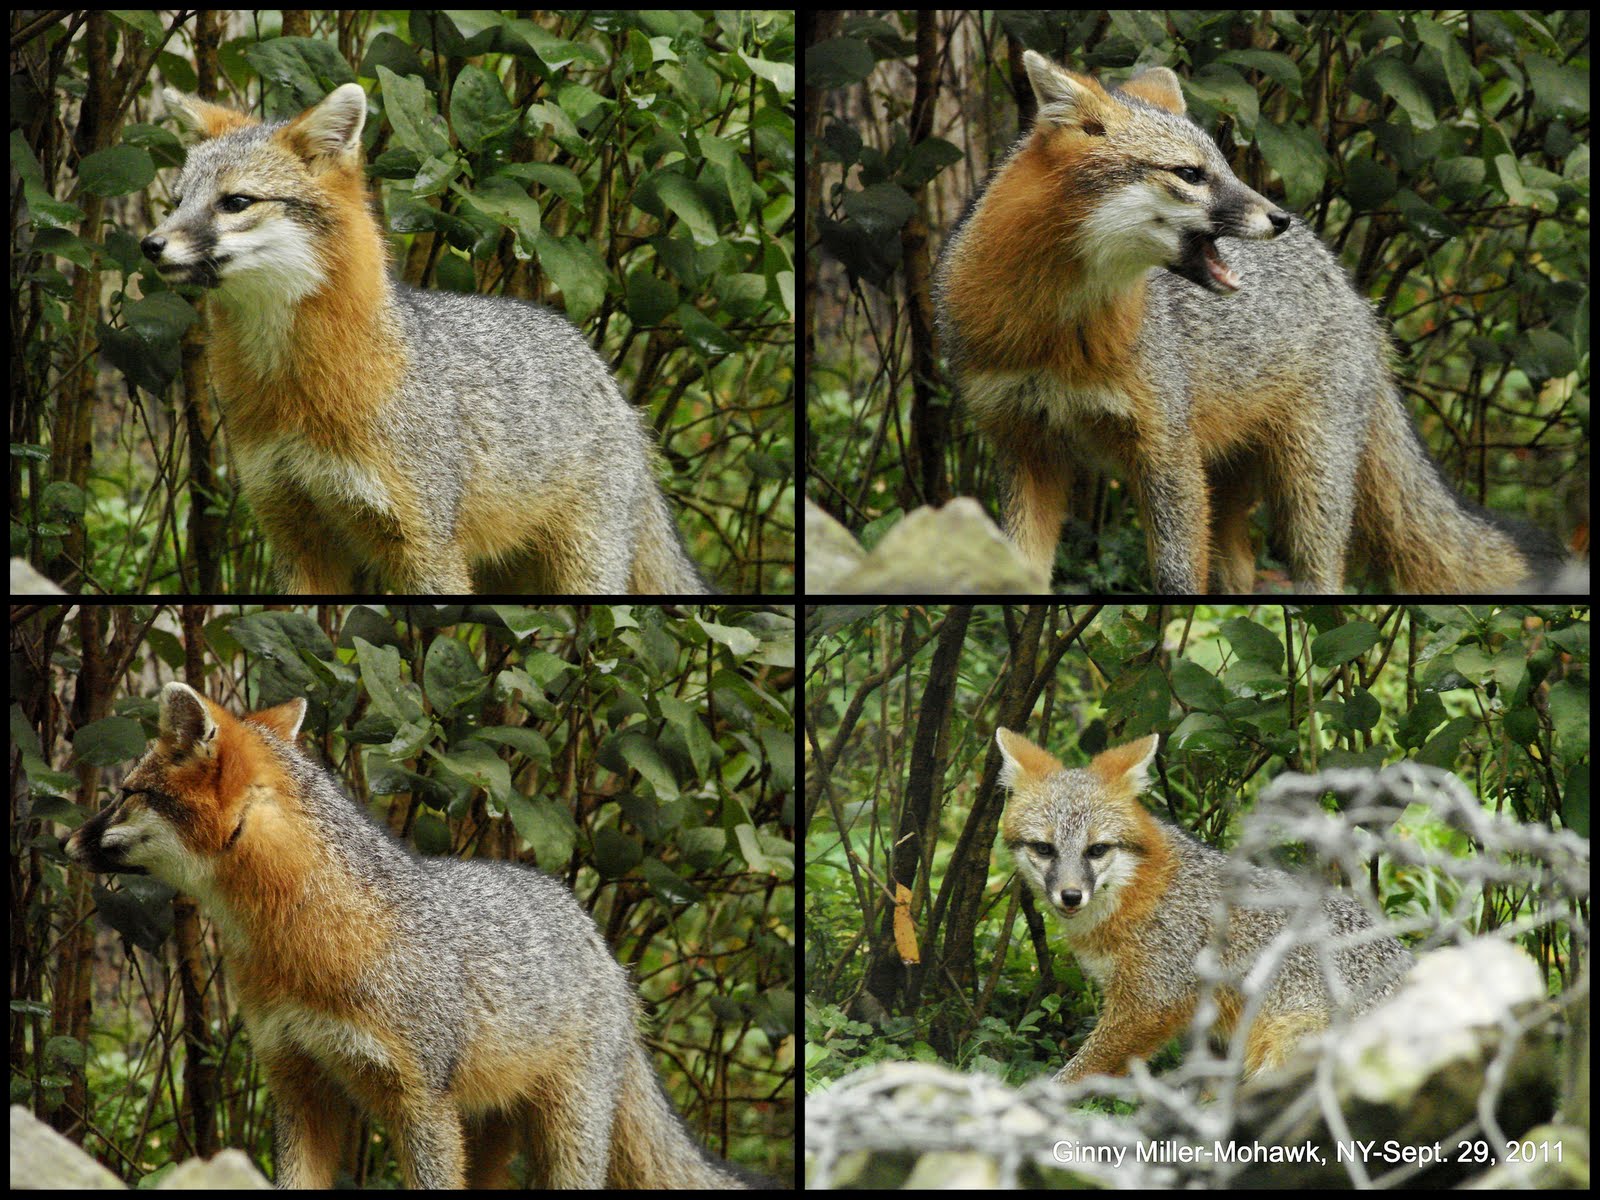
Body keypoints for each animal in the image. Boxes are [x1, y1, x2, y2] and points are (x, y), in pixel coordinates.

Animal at [63, 682, 761, 1188]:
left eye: (127, 794)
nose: (66, 842)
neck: (299, 943)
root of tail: (598, 940)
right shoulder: (297, 1081)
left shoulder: (421, 1100)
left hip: (564, 1134)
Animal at [141, 83, 707, 596]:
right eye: (177, 201)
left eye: (236, 202)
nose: (150, 244)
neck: (292, 388)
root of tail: (611, 382)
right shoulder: (295, 533)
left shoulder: (425, 543)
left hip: (581, 573)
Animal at [935, 52, 1564, 594]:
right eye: (1190, 174)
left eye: (1228, 169)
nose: (1281, 217)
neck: (1055, 331)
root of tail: (1357, 298)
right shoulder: (1024, 446)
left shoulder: (1166, 450)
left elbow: (1177, 583)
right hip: (1233, 484)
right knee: (1240, 576)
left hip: (1309, 488)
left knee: (1322, 580)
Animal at [993, 728, 1413, 1083]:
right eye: (1044, 849)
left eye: (1097, 850)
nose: (1070, 895)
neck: (1143, 891)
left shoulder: (1150, 1002)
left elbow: (1077, 1071)